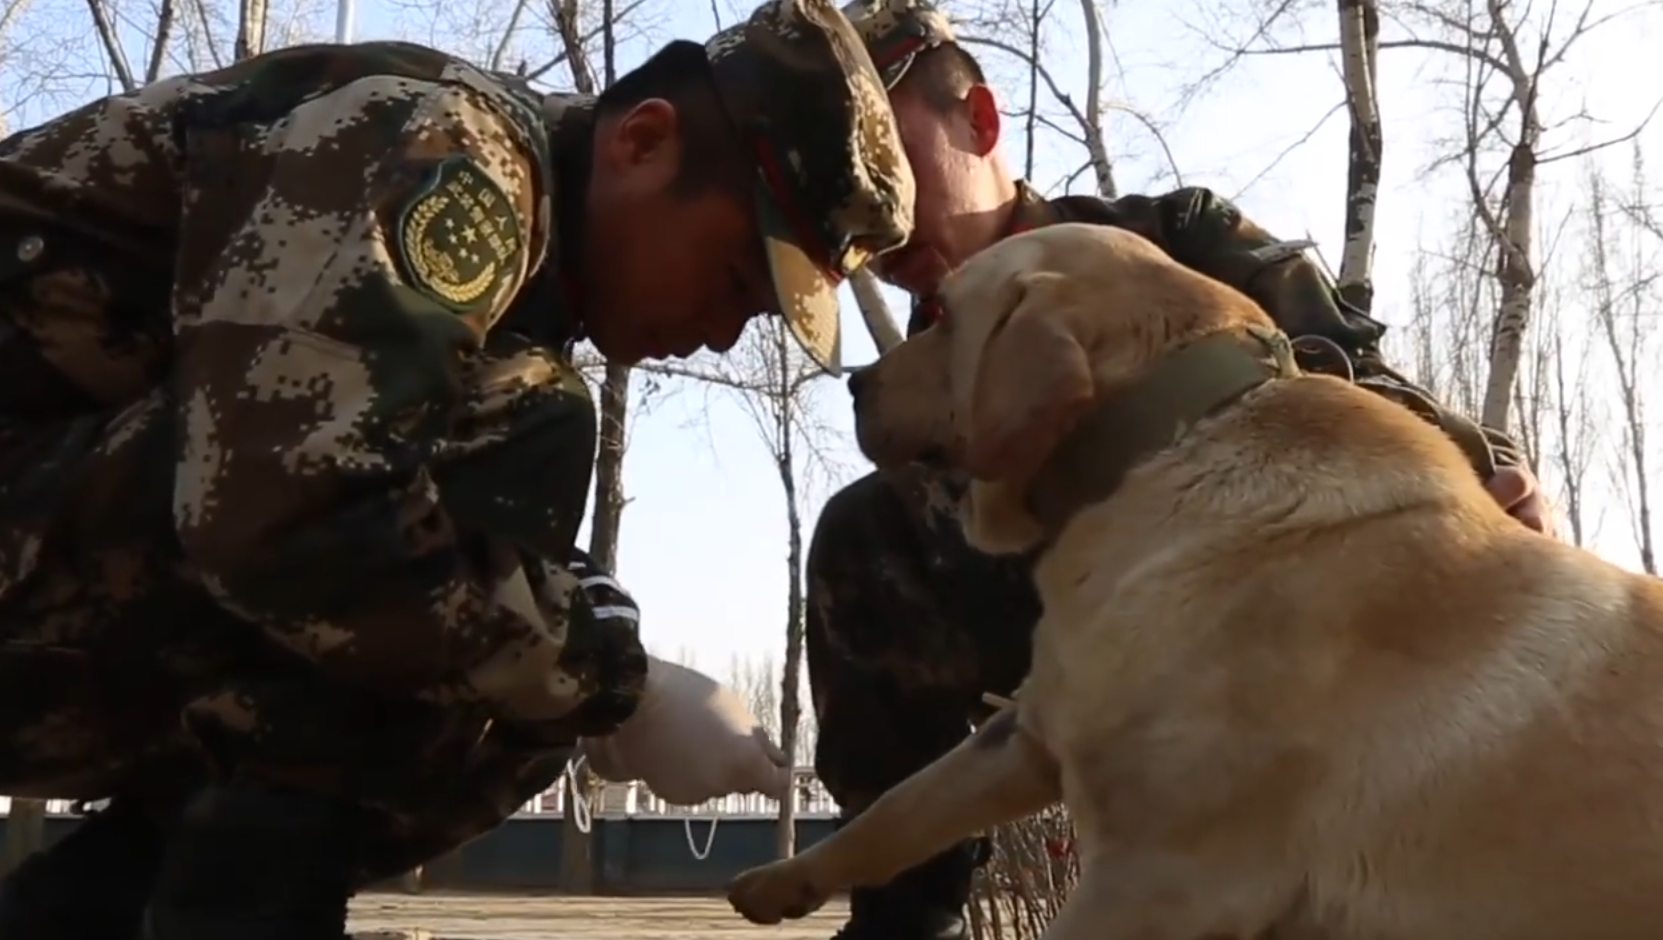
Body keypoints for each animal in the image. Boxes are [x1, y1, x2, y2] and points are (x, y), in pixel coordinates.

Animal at [735, 221, 1663, 938]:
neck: (1155, 444)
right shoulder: (1030, 734)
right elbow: (904, 806)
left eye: (940, 316)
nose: (854, 381)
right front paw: (781, 882)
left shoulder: (1162, 876)